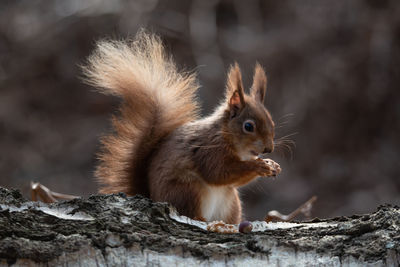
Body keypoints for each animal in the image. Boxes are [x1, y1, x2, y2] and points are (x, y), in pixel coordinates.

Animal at [81, 30, 282, 225]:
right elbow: (218, 173)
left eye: (272, 123)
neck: (227, 137)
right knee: (189, 210)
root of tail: (153, 196)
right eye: (248, 126)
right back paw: (200, 219)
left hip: (231, 202)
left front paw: (272, 165)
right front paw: (259, 165)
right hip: (188, 189)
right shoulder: (209, 151)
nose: (269, 149)